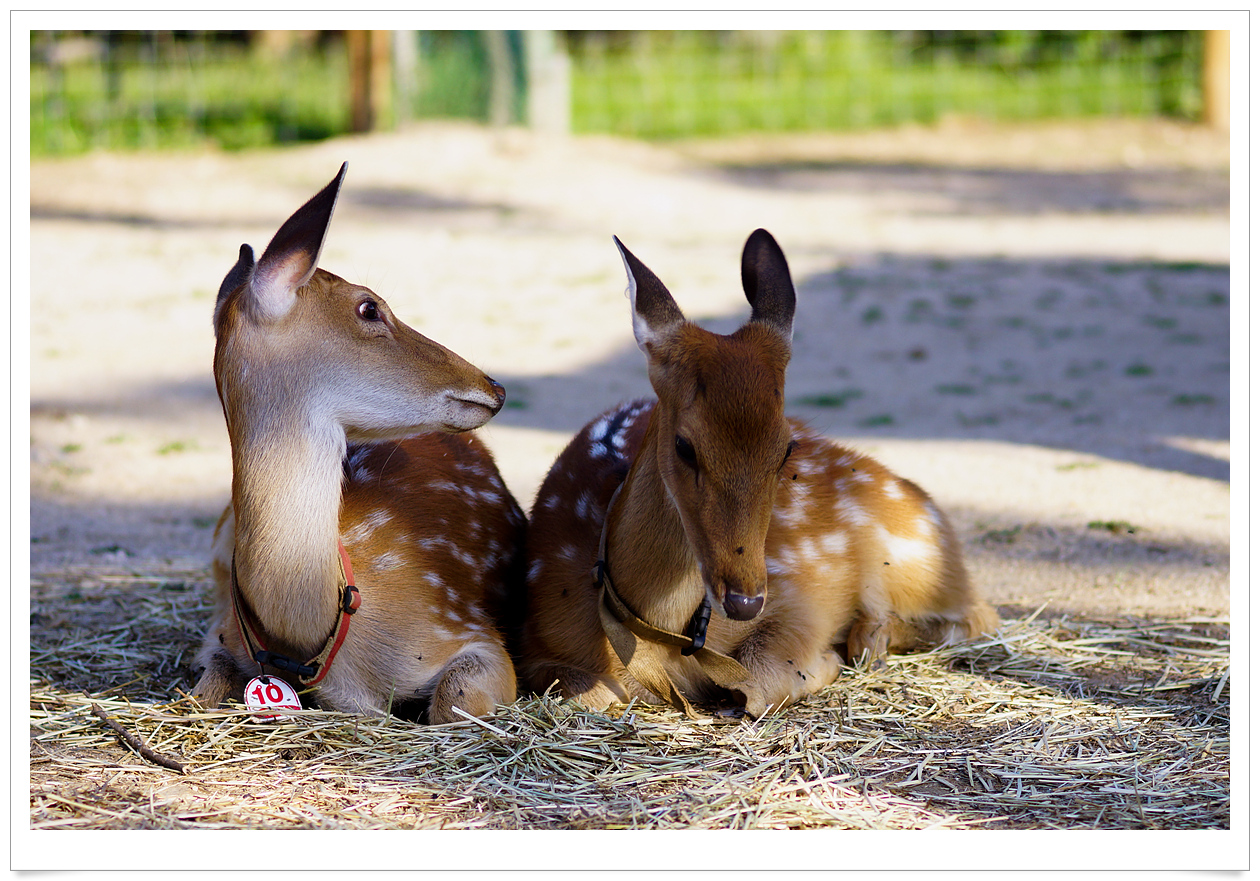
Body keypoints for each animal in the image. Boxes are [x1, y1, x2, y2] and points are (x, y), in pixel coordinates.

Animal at [191, 163, 524, 723]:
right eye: (369, 308)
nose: (494, 387)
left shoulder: (468, 629)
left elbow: (452, 702)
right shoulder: (217, 634)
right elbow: (197, 692)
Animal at [519, 229, 998, 719]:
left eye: (786, 448)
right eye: (685, 445)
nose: (744, 599)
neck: (657, 638)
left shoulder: (800, 597)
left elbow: (759, 685)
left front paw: (826, 659)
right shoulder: (538, 640)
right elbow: (586, 692)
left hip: (919, 558)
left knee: (979, 615)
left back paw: (870, 637)